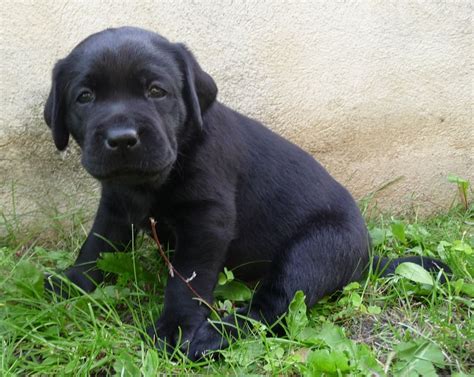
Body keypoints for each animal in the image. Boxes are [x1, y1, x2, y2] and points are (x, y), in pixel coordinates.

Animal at [43, 26, 448, 358]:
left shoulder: (207, 220)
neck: (150, 181)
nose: (122, 138)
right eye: (84, 97)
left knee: (274, 307)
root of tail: (366, 261)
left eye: (156, 91)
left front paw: (177, 330)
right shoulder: (115, 205)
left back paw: (215, 337)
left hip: (313, 250)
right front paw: (71, 283)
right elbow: (95, 247)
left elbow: (187, 280)